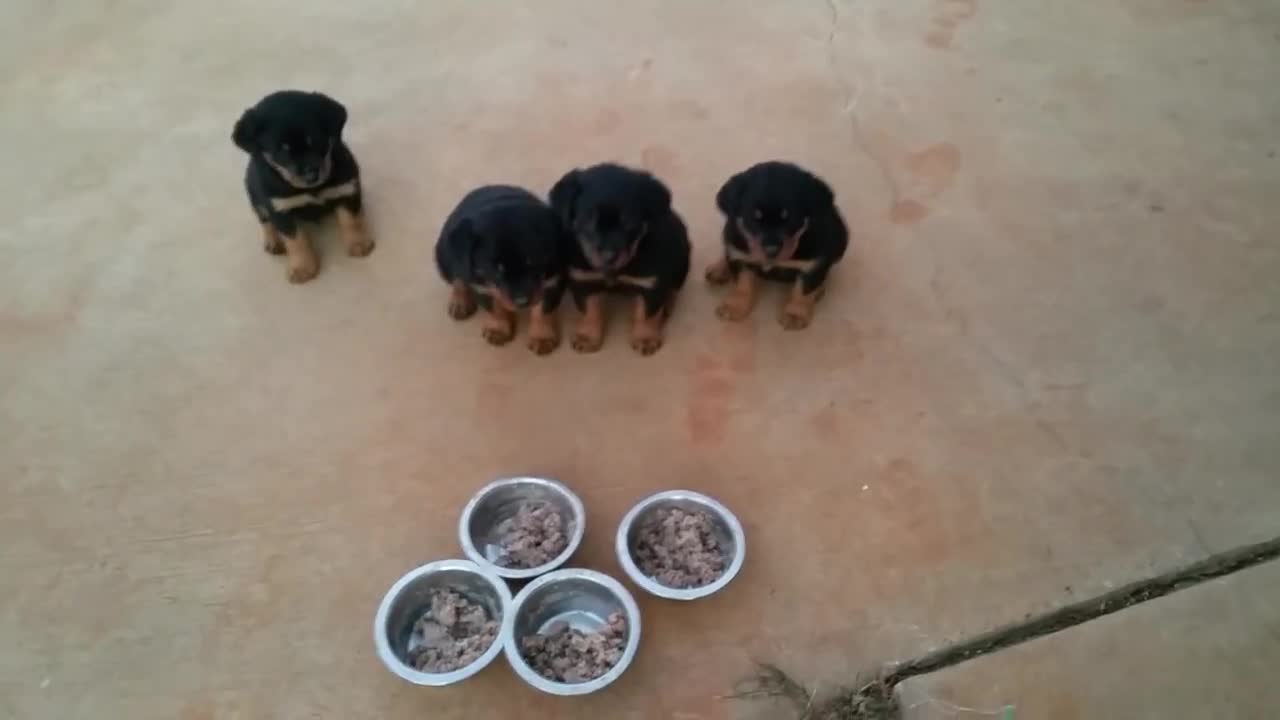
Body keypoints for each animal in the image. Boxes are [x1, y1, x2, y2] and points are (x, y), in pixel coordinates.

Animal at [231, 89, 373, 280]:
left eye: (316, 140)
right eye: (282, 150)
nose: (312, 175)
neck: (312, 188)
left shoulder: (346, 190)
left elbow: (351, 221)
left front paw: (359, 244)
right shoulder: (281, 209)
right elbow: (296, 240)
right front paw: (302, 268)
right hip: (255, 197)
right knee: (265, 221)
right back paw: (273, 242)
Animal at [435, 184, 565, 353]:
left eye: (533, 261)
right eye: (496, 269)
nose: (522, 302)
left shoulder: (553, 280)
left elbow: (542, 310)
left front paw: (541, 338)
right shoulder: (481, 286)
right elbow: (494, 309)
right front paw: (497, 330)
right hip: (444, 254)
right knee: (457, 277)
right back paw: (459, 302)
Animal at [547, 162, 691, 353]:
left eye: (629, 222)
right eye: (587, 220)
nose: (609, 256)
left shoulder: (652, 283)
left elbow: (647, 313)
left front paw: (645, 338)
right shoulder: (584, 281)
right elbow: (589, 311)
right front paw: (587, 337)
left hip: (682, 259)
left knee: (674, 288)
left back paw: (666, 304)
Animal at [706, 159, 844, 327]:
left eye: (790, 219)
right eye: (754, 219)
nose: (771, 250)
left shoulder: (812, 265)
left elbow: (802, 291)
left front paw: (795, 314)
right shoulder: (740, 257)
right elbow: (742, 285)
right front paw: (735, 306)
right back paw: (718, 269)